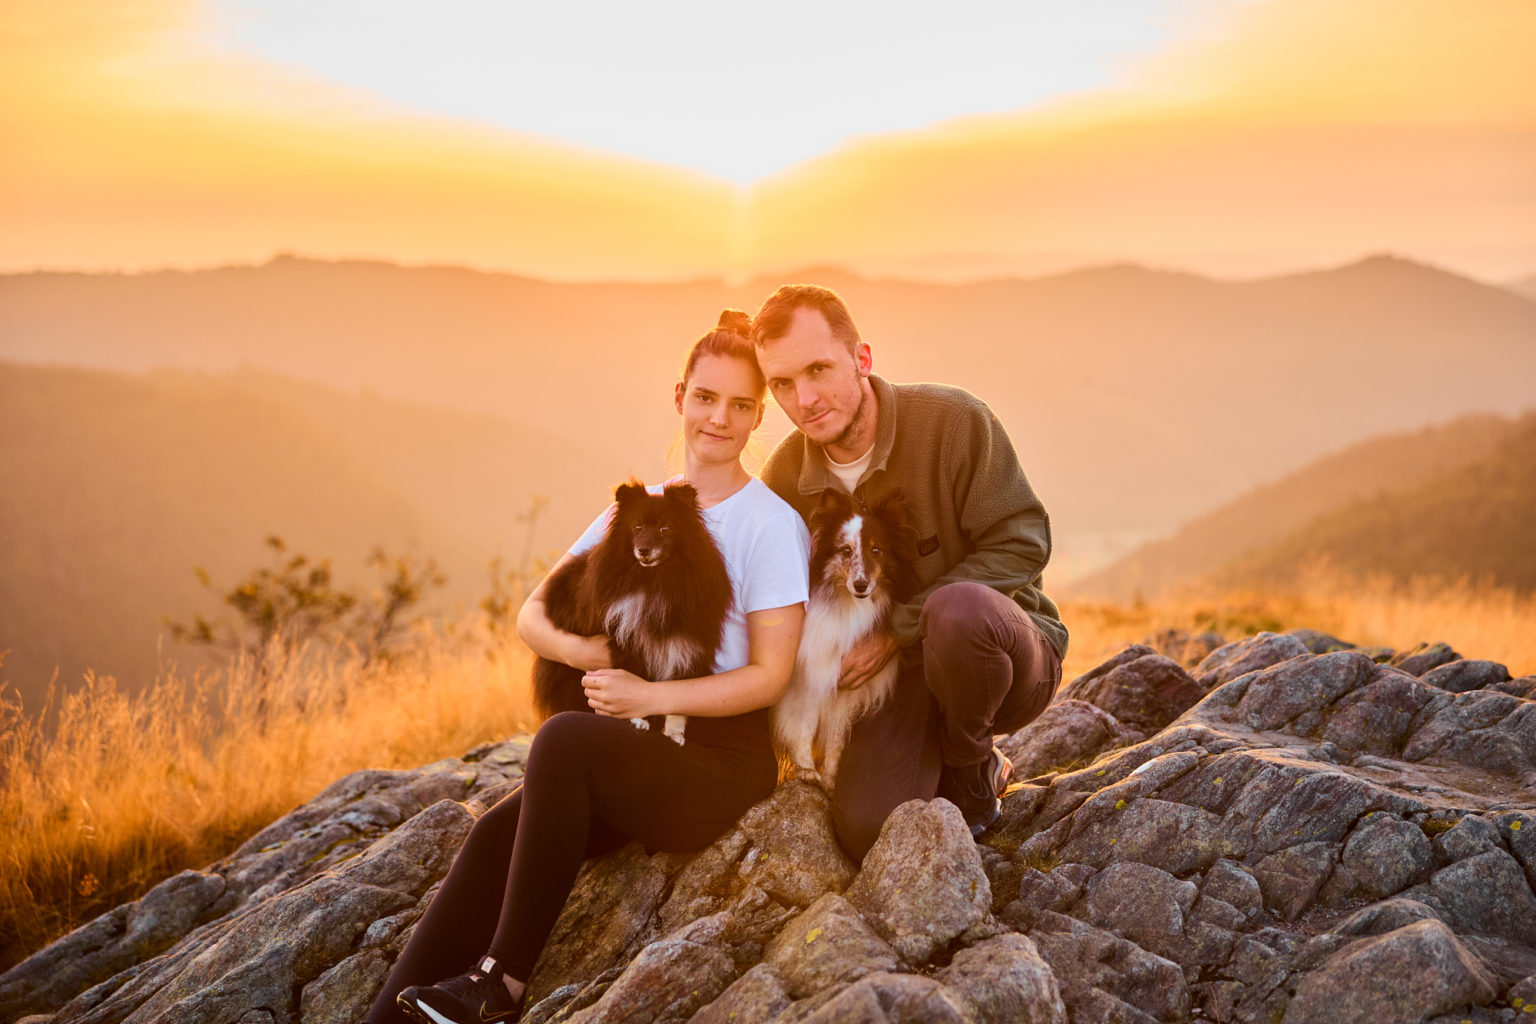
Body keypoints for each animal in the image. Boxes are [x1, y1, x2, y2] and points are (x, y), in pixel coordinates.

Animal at [774, 488, 915, 786]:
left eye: (876, 549)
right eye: (846, 550)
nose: (861, 585)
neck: (846, 605)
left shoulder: (846, 686)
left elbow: (836, 737)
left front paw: (829, 779)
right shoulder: (806, 679)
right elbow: (804, 725)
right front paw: (807, 771)